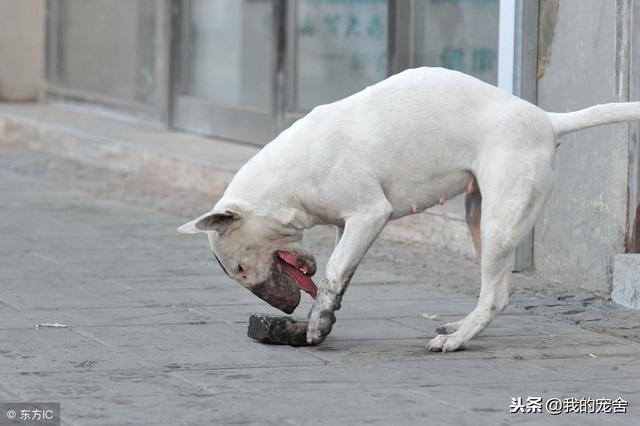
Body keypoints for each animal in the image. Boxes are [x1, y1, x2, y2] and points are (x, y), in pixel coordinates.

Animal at [179, 66, 640, 352]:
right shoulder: (348, 225)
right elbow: (338, 274)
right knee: (500, 290)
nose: (283, 311)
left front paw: (316, 322)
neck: (288, 181)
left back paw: (456, 340)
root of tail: (547, 120)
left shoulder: (369, 214)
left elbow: (332, 273)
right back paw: (460, 327)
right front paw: (320, 317)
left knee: (494, 294)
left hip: (500, 220)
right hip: (479, 214)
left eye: (239, 270)